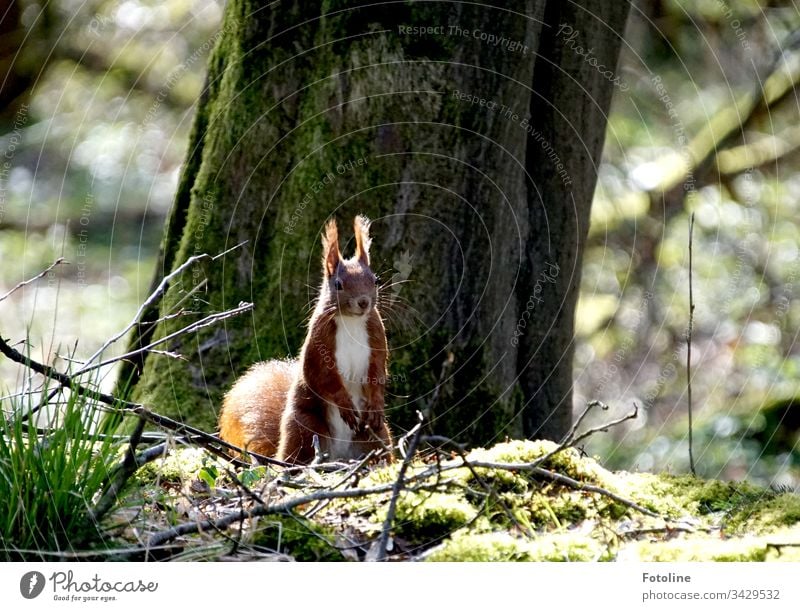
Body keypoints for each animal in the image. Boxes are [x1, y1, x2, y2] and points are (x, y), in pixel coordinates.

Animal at [219, 215, 394, 464]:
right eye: (338, 284)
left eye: (376, 280)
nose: (363, 302)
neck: (351, 321)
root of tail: (338, 457)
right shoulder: (318, 341)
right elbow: (322, 376)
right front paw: (345, 404)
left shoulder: (376, 336)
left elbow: (378, 370)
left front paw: (378, 404)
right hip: (304, 428)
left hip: (375, 435)